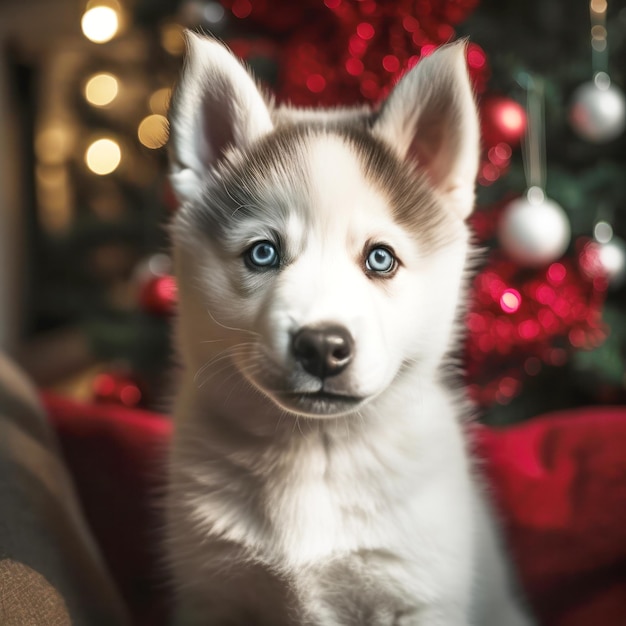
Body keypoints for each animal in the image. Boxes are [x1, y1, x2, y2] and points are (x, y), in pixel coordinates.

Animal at [165, 33, 532, 624]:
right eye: (263, 253)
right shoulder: (214, 595)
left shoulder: (415, 596)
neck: (314, 453)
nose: (322, 346)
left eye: (380, 259)